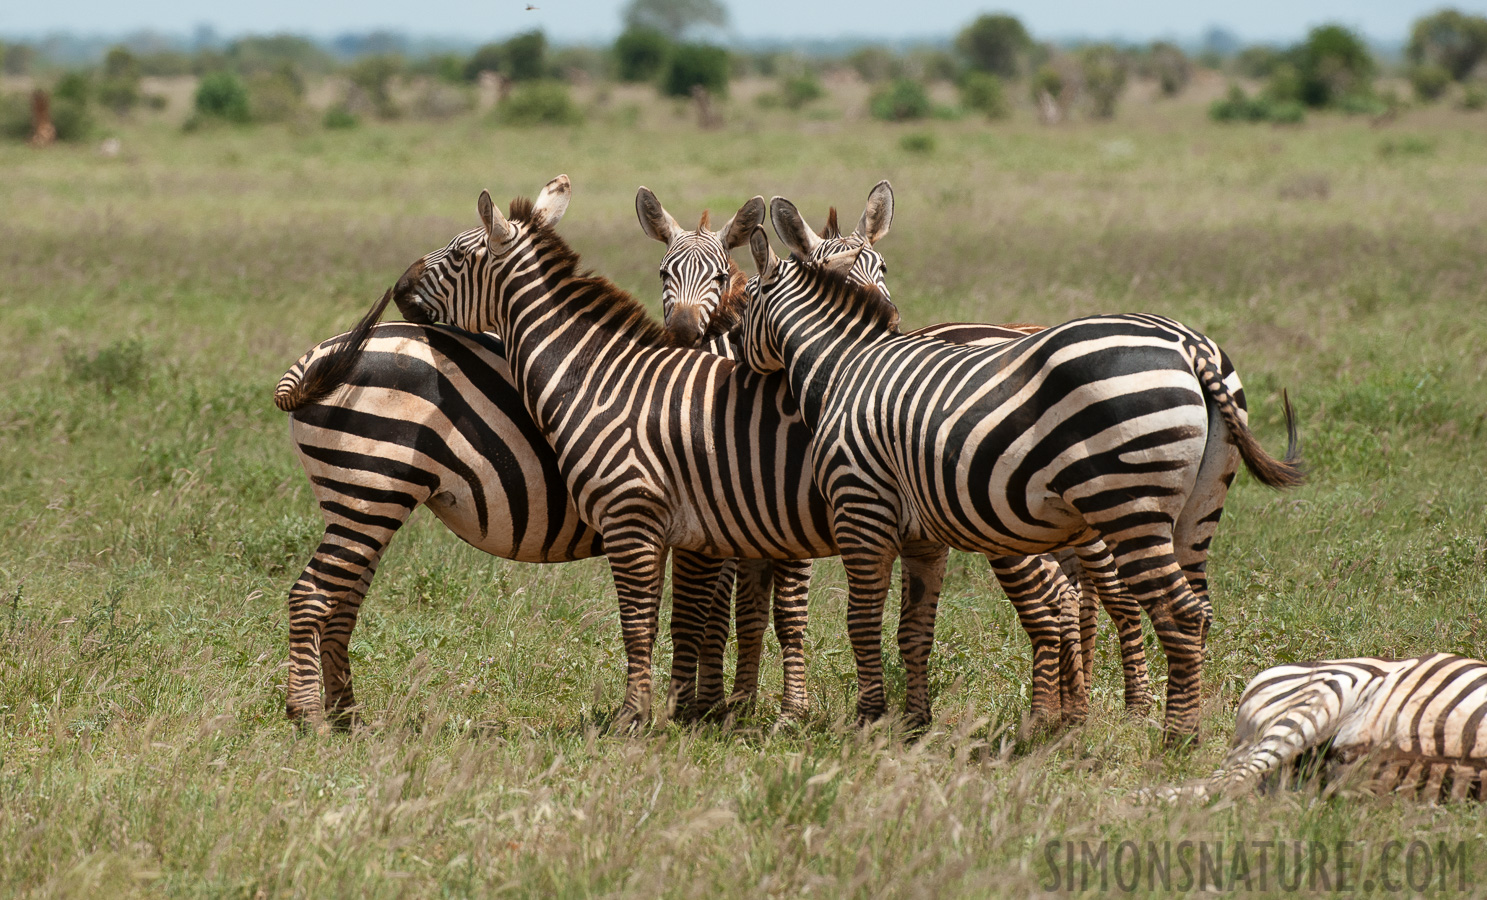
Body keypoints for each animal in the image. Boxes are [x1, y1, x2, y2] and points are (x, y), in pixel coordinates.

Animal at [737, 205, 1296, 743]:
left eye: (744, 301)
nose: (738, 360)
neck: (846, 366)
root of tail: (1190, 346)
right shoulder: (922, 535)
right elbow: (914, 627)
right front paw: (914, 723)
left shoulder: (861, 508)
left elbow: (861, 621)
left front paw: (867, 721)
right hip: (1197, 510)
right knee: (1195, 611)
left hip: (1128, 504)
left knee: (1171, 612)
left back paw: (1174, 741)